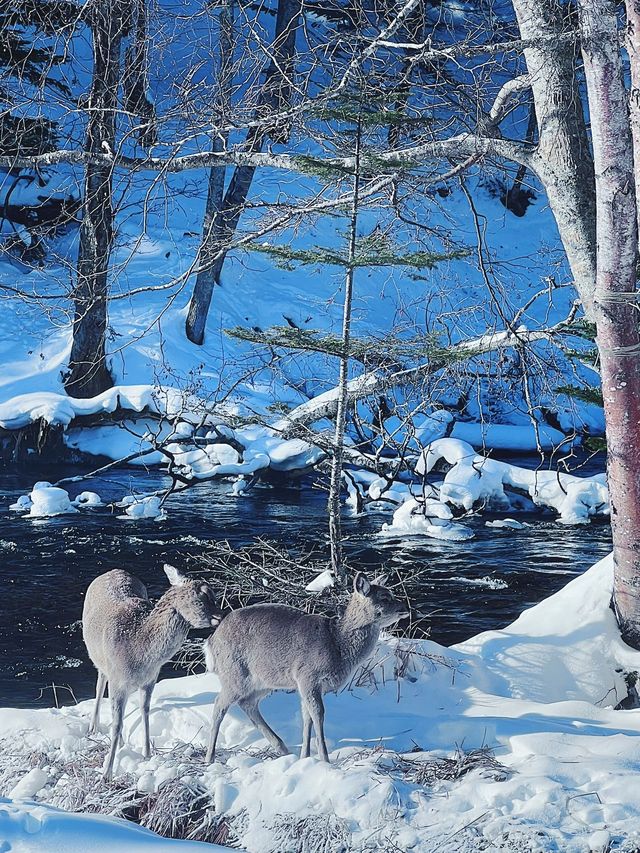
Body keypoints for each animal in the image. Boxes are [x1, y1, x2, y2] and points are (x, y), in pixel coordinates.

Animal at [82, 564, 220, 784]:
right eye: (204, 596)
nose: (221, 615)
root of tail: (112, 570)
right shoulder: (117, 681)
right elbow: (117, 724)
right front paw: (107, 773)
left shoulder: (150, 680)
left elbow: (144, 711)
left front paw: (147, 754)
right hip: (97, 656)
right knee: (99, 681)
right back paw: (93, 728)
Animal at [202, 576, 408, 764]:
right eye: (384, 597)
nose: (405, 607)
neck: (337, 644)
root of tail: (210, 642)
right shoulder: (308, 676)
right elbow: (318, 714)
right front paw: (324, 759)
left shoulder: (307, 684)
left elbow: (306, 716)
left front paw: (305, 756)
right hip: (234, 674)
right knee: (219, 704)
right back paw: (209, 757)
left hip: (264, 680)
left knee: (247, 703)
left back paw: (283, 748)